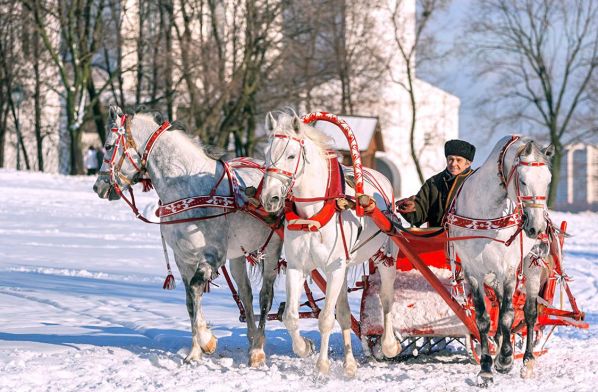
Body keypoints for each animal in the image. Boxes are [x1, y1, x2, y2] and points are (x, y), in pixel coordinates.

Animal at [92, 107, 284, 368]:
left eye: (109, 146)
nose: (98, 187)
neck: (189, 187)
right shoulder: (183, 257)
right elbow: (190, 300)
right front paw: (198, 348)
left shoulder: (212, 255)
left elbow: (195, 288)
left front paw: (204, 342)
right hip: (238, 254)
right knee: (245, 293)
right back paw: (252, 338)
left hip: (272, 252)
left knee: (265, 296)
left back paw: (258, 351)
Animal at [260, 112, 400, 376]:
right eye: (266, 154)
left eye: (291, 155)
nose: (269, 198)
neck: (312, 214)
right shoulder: (297, 267)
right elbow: (291, 317)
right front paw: (305, 347)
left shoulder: (334, 267)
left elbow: (325, 319)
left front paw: (322, 364)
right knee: (344, 312)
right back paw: (349, 363)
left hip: (384, 258)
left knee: (387, 300)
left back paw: (388, 345)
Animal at [450, 136, 556, 388]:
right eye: (524, 180)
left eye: (547, 180)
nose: (536, 228)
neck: (486, 211)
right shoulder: (472, 271)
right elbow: (483, 318)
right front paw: (486, 368)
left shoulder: (508, 269)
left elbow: (508, 313)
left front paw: (506, 359)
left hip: (532, 265)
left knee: (529, 313)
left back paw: (527, 361)